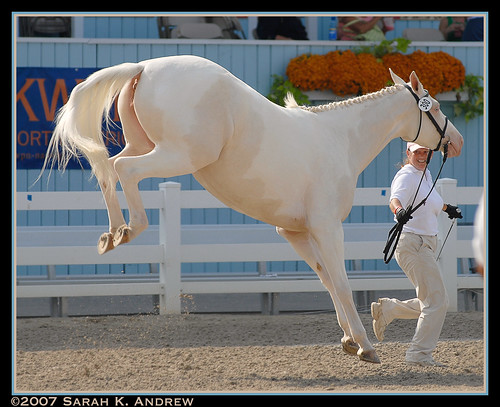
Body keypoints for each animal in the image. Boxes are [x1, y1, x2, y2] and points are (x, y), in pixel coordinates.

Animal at [45, 54, 462, 364]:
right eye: (436, 105)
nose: (455, 141)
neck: (339, 138)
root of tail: (145, 67)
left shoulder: (295, 231)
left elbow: (327, 281)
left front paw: (349, 341)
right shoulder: (327, 227)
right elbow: (342, 284)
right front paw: (365, 347)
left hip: (146, 144)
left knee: (107, 167)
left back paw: (111, 235)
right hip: (176, 155)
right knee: (123, 170)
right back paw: (129, 229)